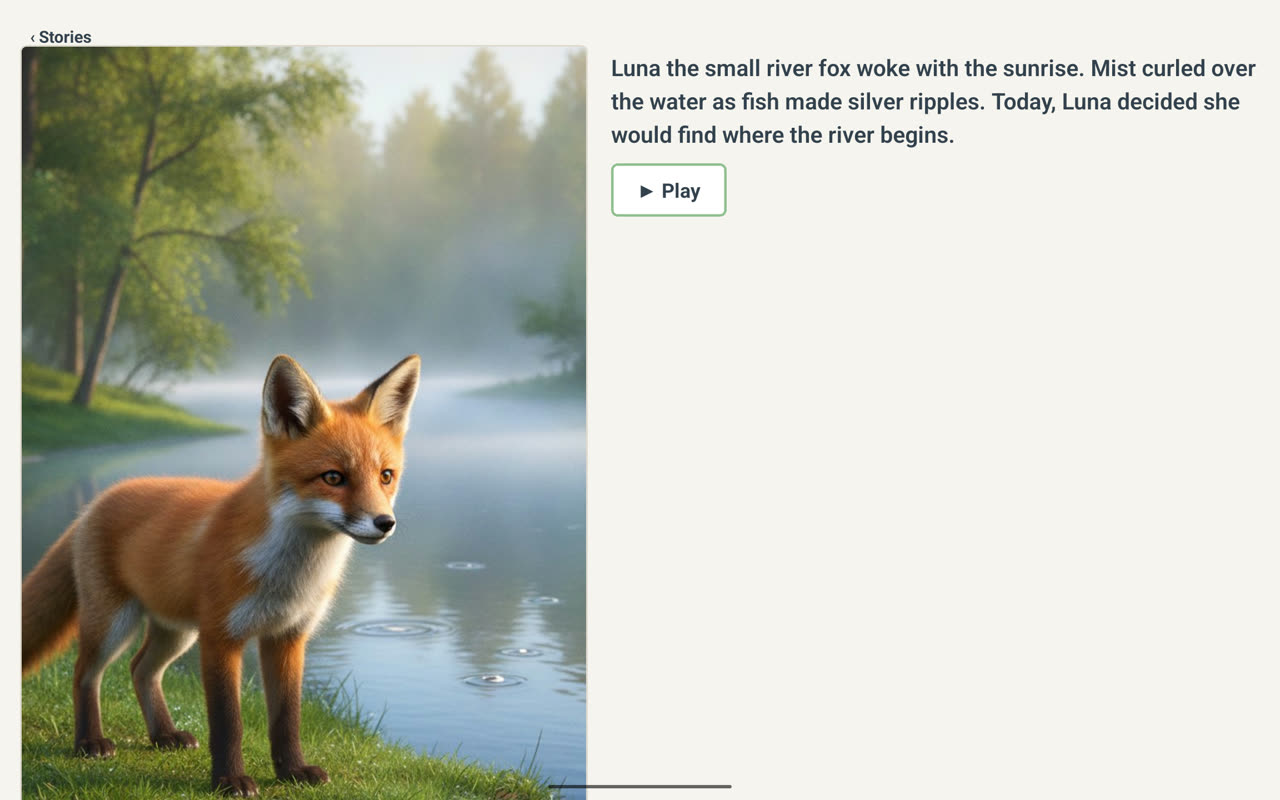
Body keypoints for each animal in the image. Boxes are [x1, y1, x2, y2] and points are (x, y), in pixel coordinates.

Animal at [21, 354, 421, 797]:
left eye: (386, 476)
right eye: (333, 477)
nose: (385, 523)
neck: (288, 575)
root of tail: (95, 502)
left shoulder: (288, 636)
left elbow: (287, 718)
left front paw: (292, 771)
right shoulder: (221, 637)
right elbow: (229, 721)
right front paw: (230, 780)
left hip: (176, 631)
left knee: (140, 669)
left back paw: (164, 735)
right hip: (114, 623)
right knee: (85, 674)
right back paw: (89, 742)